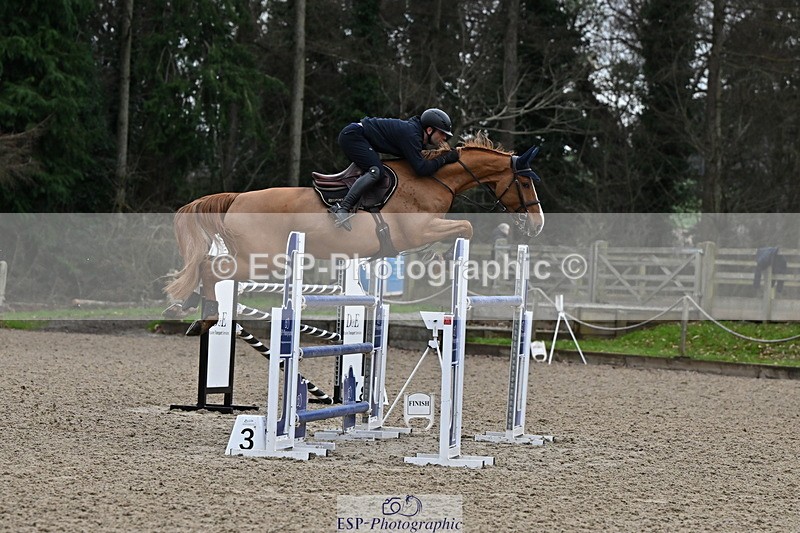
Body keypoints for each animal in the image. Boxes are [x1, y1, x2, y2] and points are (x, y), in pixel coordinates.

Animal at [165, 134, 544, 335]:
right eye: (525, 183)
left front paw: (437, 257)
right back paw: (203, 315)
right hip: (260, 261)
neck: (433, 177)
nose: (538, 224)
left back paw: (188, 306)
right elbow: (464, 227)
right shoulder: (418, 230)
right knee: (210, 269)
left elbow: (460, 229)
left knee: (206, 266)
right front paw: (438, 259)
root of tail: (236, 198)